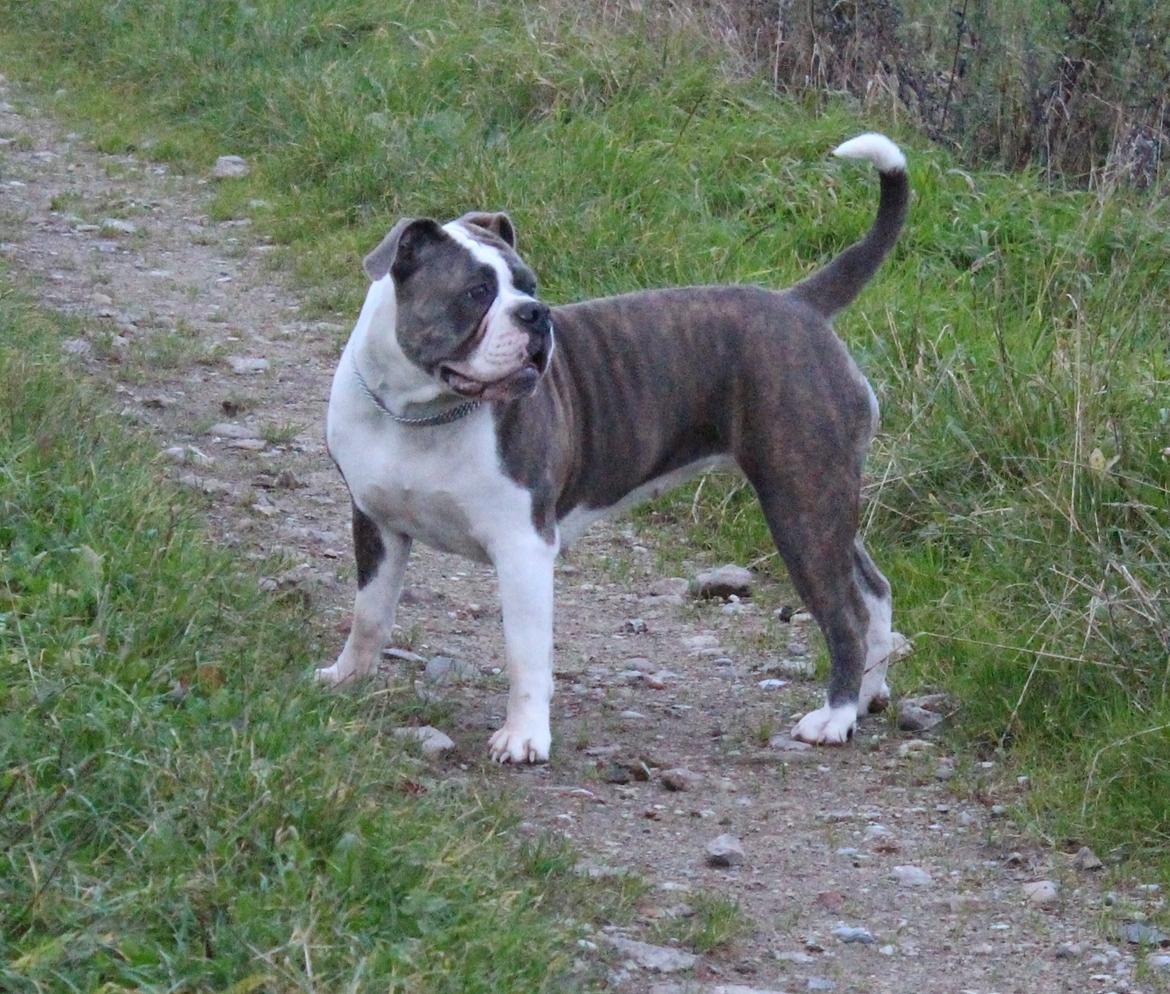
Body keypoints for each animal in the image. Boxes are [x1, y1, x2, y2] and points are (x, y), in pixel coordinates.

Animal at [325, 131, 907, 762]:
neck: (420, 412)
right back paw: (867, 696)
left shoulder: (523, 546)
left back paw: (835, 716)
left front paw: (524, 737)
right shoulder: (376, 521)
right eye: (476, 293)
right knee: (874, 590)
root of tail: (801, 305)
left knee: (844, 612)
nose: (537, 315)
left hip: (800, 501)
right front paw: (348, 678)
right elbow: (369, 611)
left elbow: (525, 655)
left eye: (529, 286)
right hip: (819, 497)